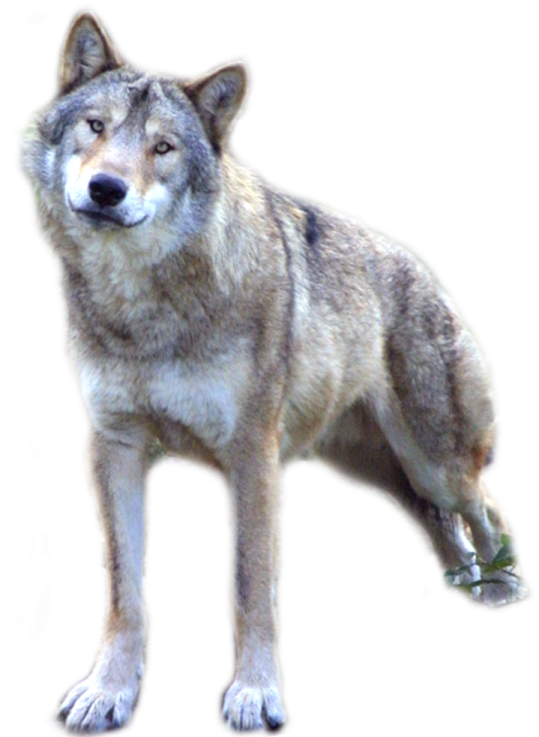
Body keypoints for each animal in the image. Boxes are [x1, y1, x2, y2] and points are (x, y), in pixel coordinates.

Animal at [13, 3, 531, 735]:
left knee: (490, 506)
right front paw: (107, 692)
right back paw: (463, 583)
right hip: (365, 467)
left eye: (163, 148)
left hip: (432, 459)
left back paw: (504, 589)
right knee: (433, 517)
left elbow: (249, 586)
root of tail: (422, 269)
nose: (106, 189)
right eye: (96, 126)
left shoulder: (251, 456)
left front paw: (255, 696)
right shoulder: (112, 448)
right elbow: (126, 595)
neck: (146, 305)